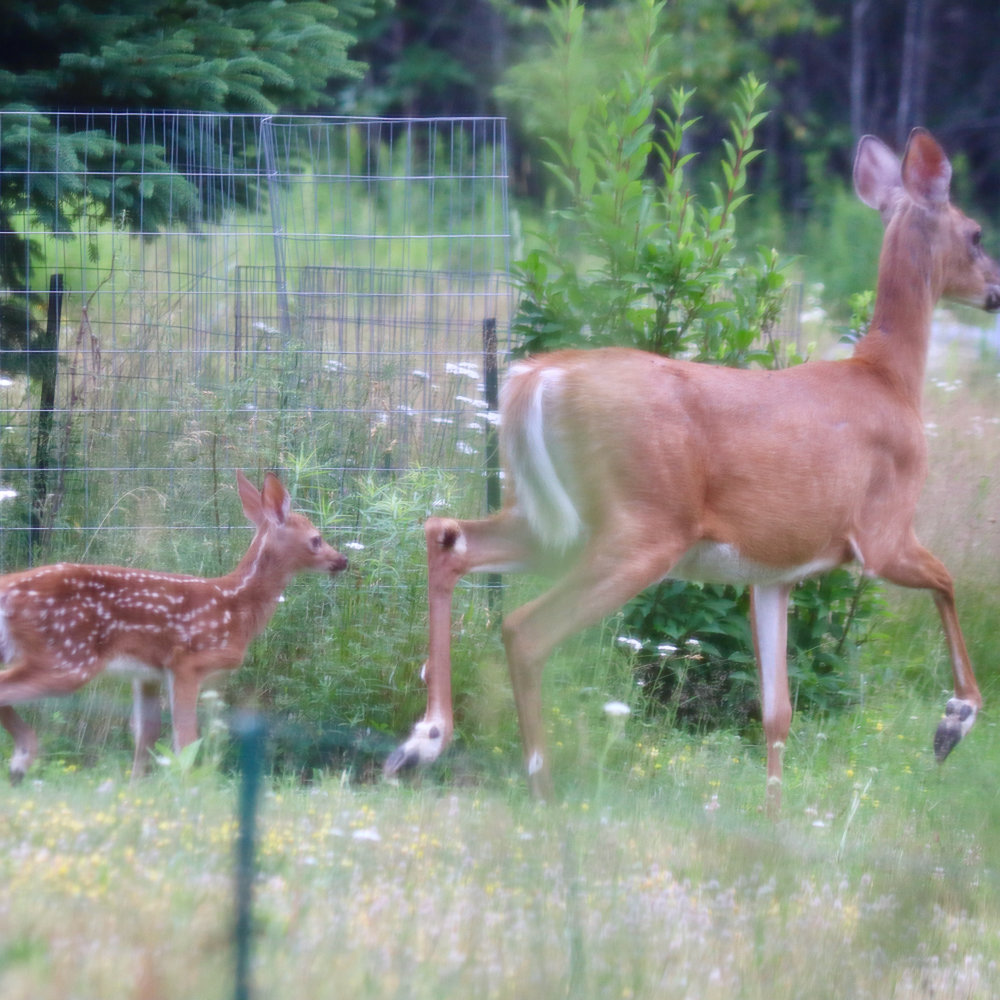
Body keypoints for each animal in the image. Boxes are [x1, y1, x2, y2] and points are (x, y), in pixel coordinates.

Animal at [0, 468, 348, 780]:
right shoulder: (187, 662)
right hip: (68, 654)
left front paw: (137, 788)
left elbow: (146, 735)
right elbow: (186, 739)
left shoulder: (147, 674)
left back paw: (20, 761)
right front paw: (185, 788)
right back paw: (22, 758)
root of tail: (7, 589)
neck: (236, 606)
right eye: (316, 539)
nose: (342, 560)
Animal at [384, 127, 1000, 812]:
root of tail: (539, 378)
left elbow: (777, 710)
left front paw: (773, 816)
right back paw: (539, 783)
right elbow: (947, 580)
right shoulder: (882, 531)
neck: (889, 379)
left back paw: (422, 743)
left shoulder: (774, 572)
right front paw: (954, 722)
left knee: (448, 535)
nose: (996, 291)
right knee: (525, 628)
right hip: (643, 526)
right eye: (976, 232)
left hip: (553, 517)